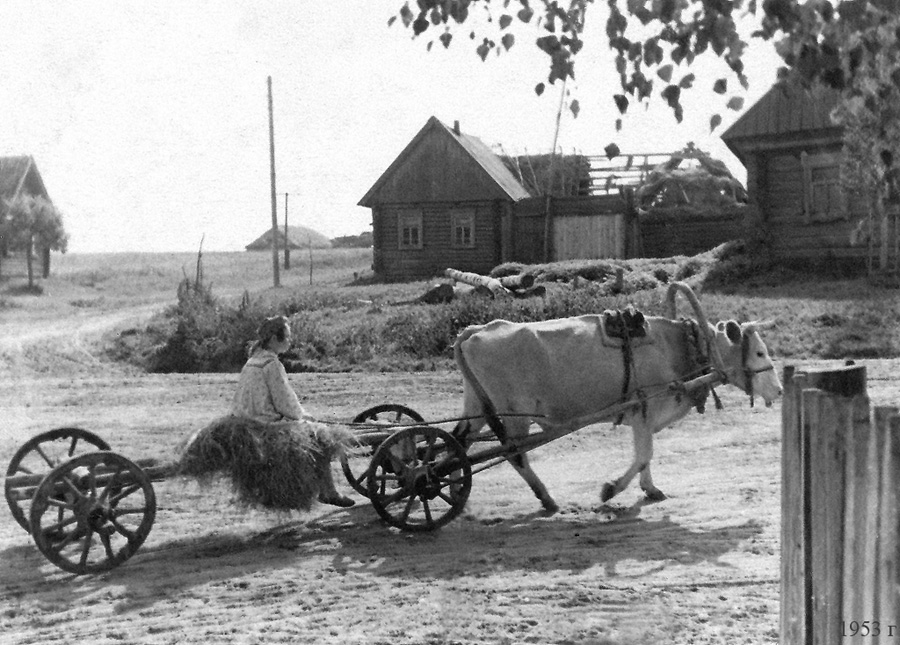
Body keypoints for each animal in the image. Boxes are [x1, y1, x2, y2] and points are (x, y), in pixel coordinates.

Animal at [450, 310, 780, 510]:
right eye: (759, 352)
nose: (779, 390)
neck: (674, 345)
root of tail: (477, 330)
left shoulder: (644, 418)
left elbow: (645, 456)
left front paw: (650, 488)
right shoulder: (645, 409)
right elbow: (644, 455)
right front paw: (611, 489)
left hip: (477, 406)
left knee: (456, 442)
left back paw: (454, 492)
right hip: (514, 415)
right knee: (514, 454)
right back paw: (546, 497)